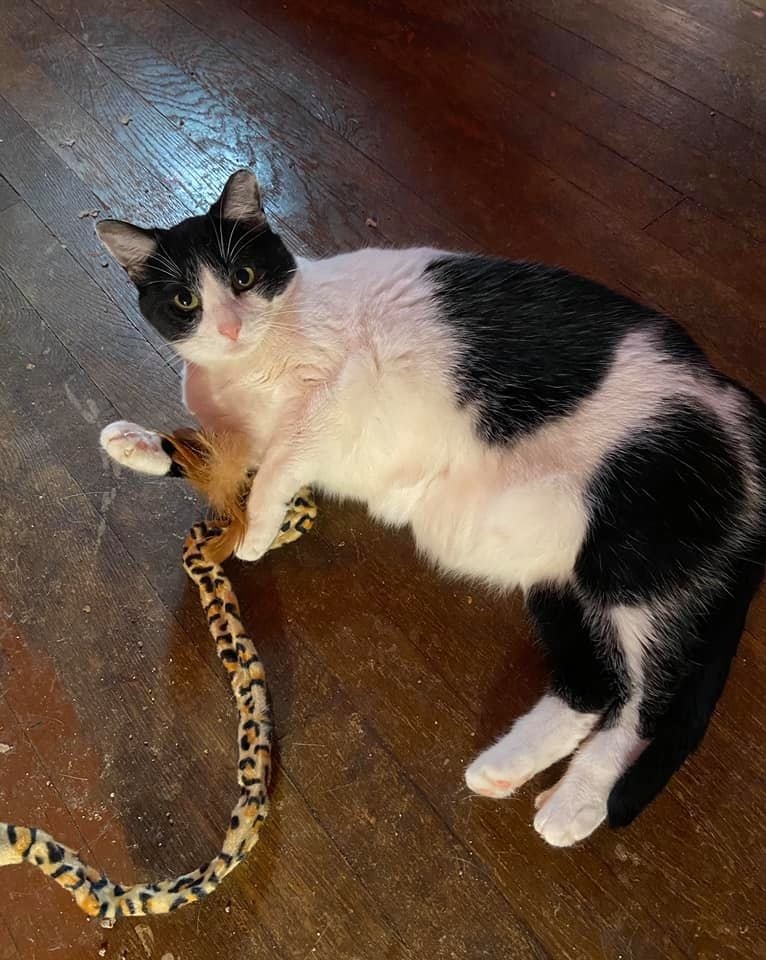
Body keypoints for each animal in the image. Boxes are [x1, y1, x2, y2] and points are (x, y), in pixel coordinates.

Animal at [96, 172, 766, 848]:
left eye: (243, 276)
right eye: (186, 301)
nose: (231, 327)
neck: (250, 370)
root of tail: (746, 423)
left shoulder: (334, 400)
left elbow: (281, 462)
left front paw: (255, 531)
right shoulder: (246, 439)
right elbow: (207, 453)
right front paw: (133, 444)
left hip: (631, 565)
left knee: (648, 700)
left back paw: (576, 804)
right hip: (562, 577)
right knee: (597, 684)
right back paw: (506, 771)